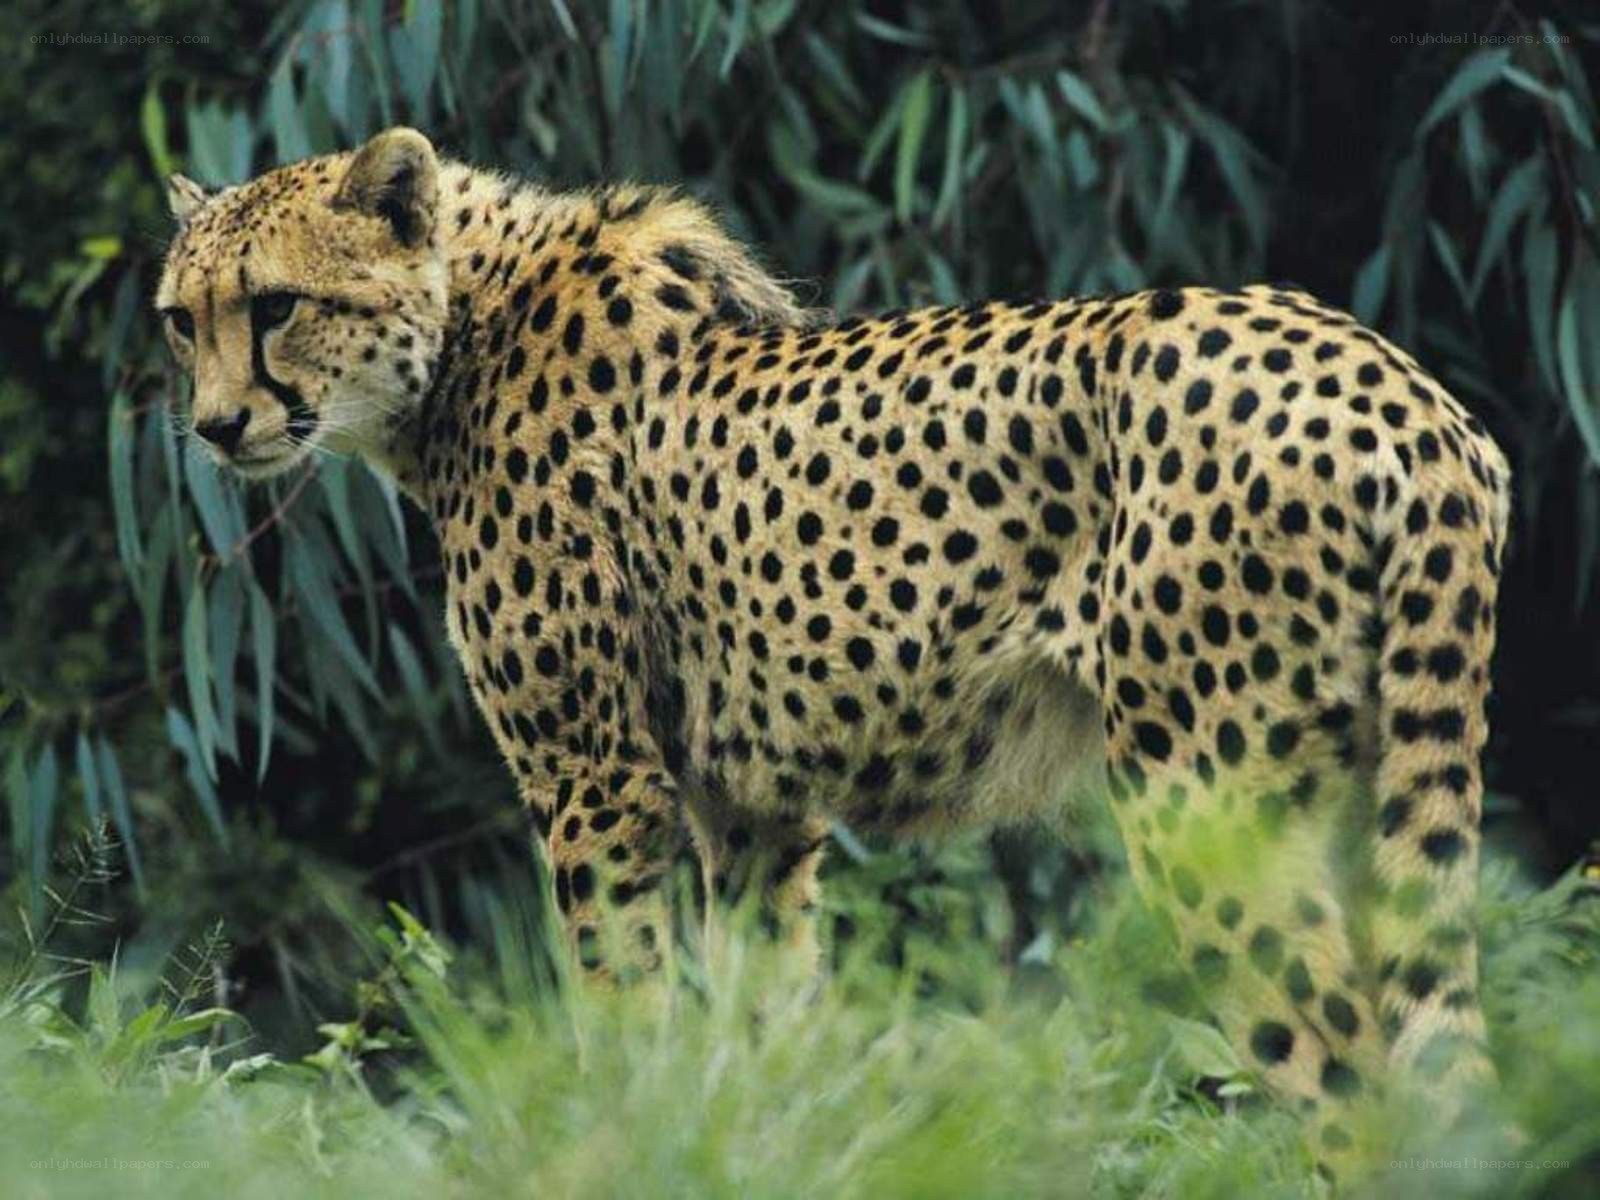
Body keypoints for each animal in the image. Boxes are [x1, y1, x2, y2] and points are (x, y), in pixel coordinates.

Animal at [155, 127, 1511, 1171]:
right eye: (180, 321)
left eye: (275, 305)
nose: (217, 429)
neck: (461, 333)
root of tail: (1398, 388)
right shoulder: (754, 805)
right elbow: (758, 1017)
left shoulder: (599, 782)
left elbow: (621, 1008)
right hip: (1365, 784)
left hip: (1209, 798)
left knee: (1349, 1083)